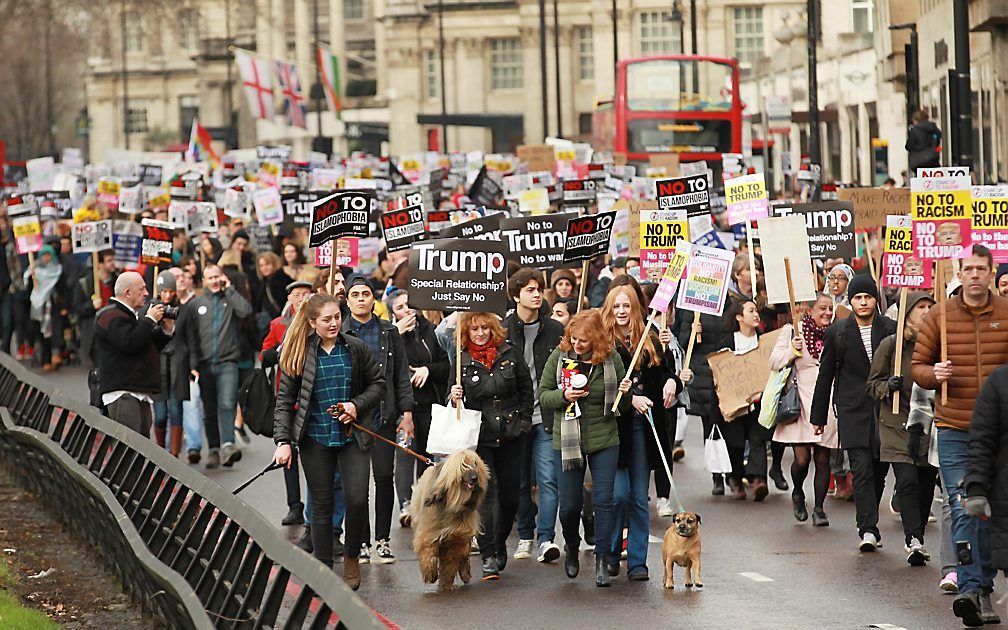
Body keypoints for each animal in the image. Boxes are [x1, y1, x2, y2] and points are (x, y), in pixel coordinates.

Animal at [409, 447, 487, 588]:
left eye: (475, 464)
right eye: (463, 465)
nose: (475, 478)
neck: (453, 502)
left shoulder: (456, 537)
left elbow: (450, 563)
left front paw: (446, 583)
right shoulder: (429, 531)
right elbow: (427, 549)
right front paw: (430, 573)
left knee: (463, 556)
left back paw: (465, 573)